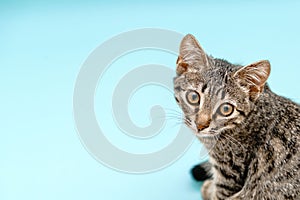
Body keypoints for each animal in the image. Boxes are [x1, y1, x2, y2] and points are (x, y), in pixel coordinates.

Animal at [173, 34, 300, 200]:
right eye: (194, 97)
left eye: (226, 109)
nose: (200, 125)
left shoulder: (230, 171)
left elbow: (219, 193)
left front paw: (208, 189)